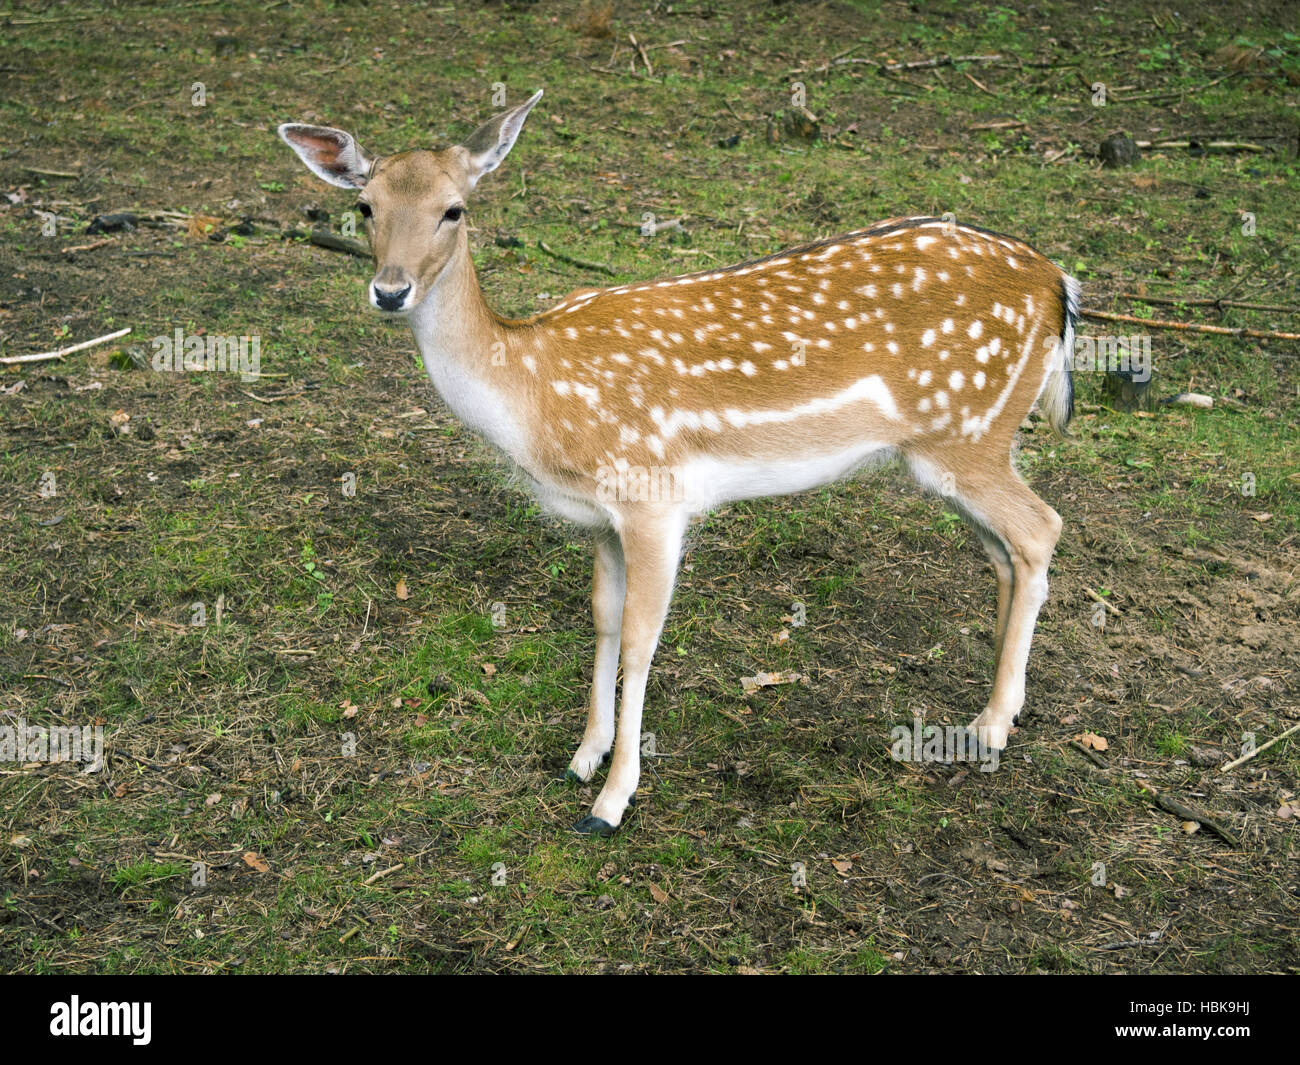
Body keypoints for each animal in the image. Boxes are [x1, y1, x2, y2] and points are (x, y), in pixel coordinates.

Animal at [278, 90, 1079, 836]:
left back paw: (989, 727)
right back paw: (1005, 707)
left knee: (1042, 527)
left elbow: (641, 641)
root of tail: (1062, 287)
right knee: (1006, 551)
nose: (390, 290)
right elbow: (602, 621)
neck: (534, 394)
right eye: (364, 205)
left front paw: (611, 800)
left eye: (454, 210)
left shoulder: (654, 495)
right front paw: (583, 756)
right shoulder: (598, 517)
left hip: (968, 436)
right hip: (953, 452)